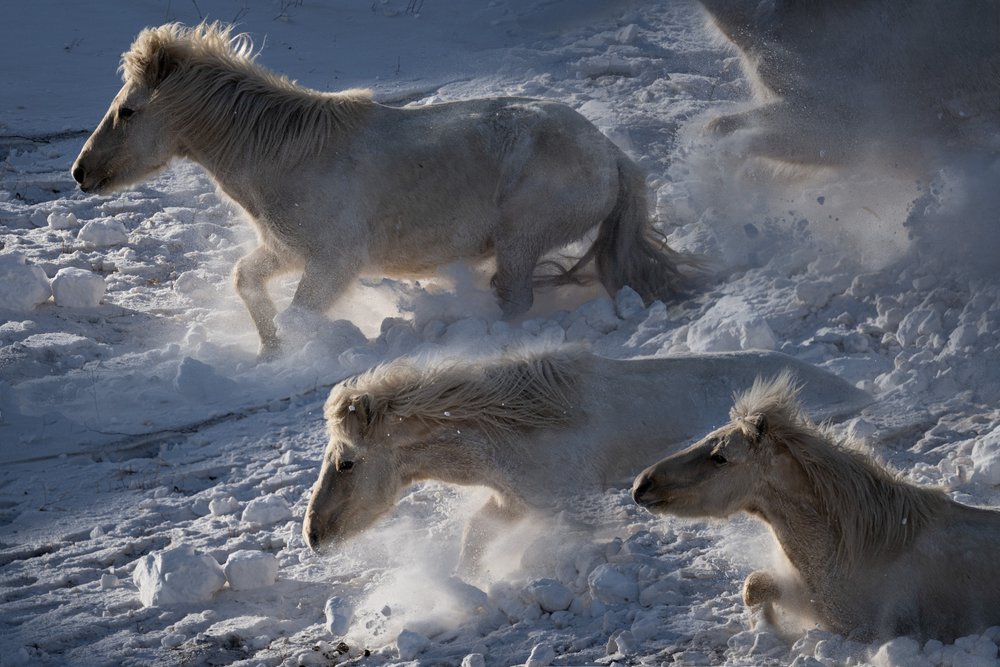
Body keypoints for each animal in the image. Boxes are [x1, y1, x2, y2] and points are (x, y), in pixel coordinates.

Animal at [71, 22, 700, 359]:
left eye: (127, 111)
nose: (81, 174)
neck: (286, 153)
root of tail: (611, 155)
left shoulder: (334, 260)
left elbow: (301, 314)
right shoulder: (287, 250)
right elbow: (246, 280)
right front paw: (269, 352)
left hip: (521, 239)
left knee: (515, 296)